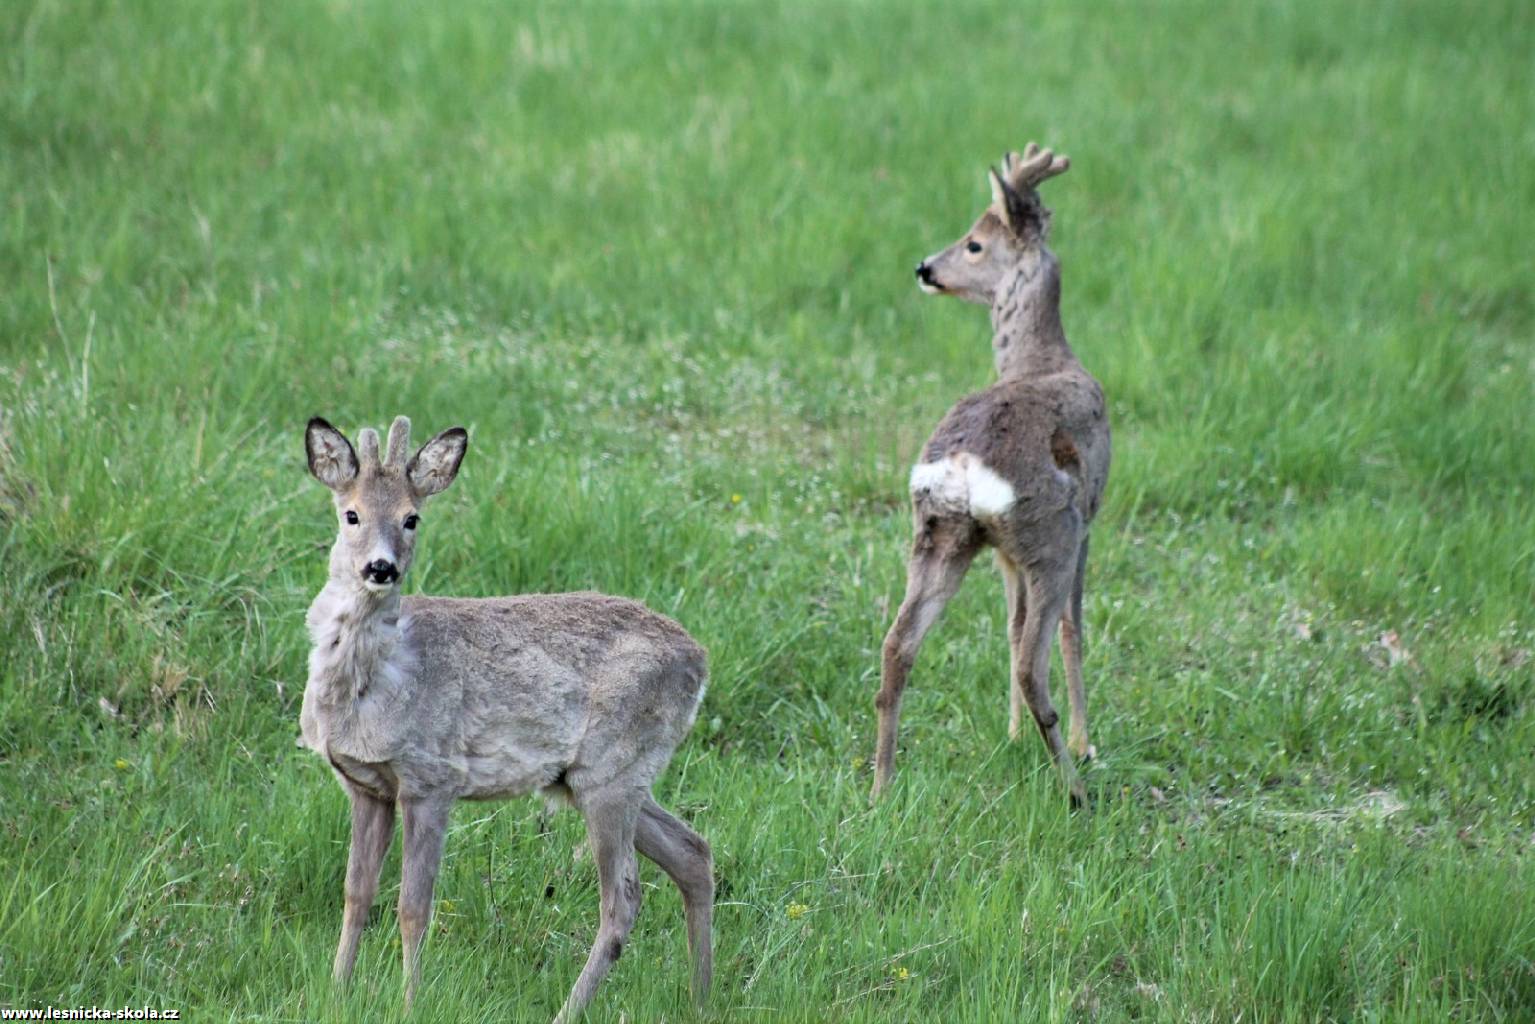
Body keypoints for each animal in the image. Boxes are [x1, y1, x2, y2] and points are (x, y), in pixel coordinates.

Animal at [297, 414, 712, 1019]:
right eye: (350, 513)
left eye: (411, 518)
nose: (380, 567)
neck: (379, 681)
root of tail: (700, 662)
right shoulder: (367, 785)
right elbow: (357, 895)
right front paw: (336, 992)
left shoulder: (432, 779)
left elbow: (413, 908)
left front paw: (410, 1004)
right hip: (609, 777)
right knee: (693, 853)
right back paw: (703, 998)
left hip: (612, 772)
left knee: (623, 901)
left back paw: (570, 1010)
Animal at [871, 142, 1111, 810]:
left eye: (974, 243)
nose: (926, 267)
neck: (1044, 357)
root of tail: (961, 466)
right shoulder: (1088, 525)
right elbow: (1072, 629)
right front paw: (1085, 740)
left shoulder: (1005, 554)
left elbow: (1006, 624)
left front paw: (1009, 736)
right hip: (1051, 534)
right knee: (1035, 660)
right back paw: (1076, 787)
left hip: (941, 534)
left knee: (898, 643)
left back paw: (880, 786)